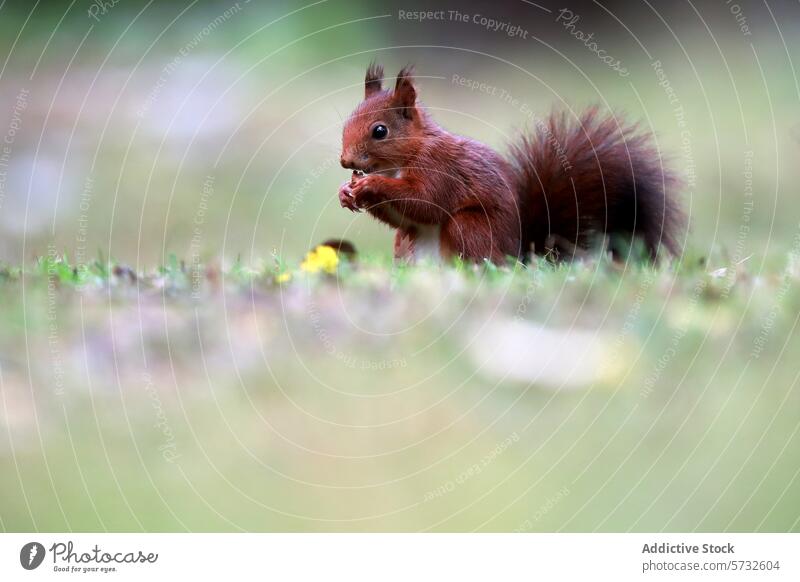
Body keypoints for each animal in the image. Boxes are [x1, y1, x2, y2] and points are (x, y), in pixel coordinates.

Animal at [336, 62, 680, 264]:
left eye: (380, 131)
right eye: (347, 122)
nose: (345, 161)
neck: (404, 159)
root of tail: (520, 256)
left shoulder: (441, 167)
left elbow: (425, 202)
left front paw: (371, 185)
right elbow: (403, 218)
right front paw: (346, 192)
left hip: (470, 229)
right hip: (407, 246)